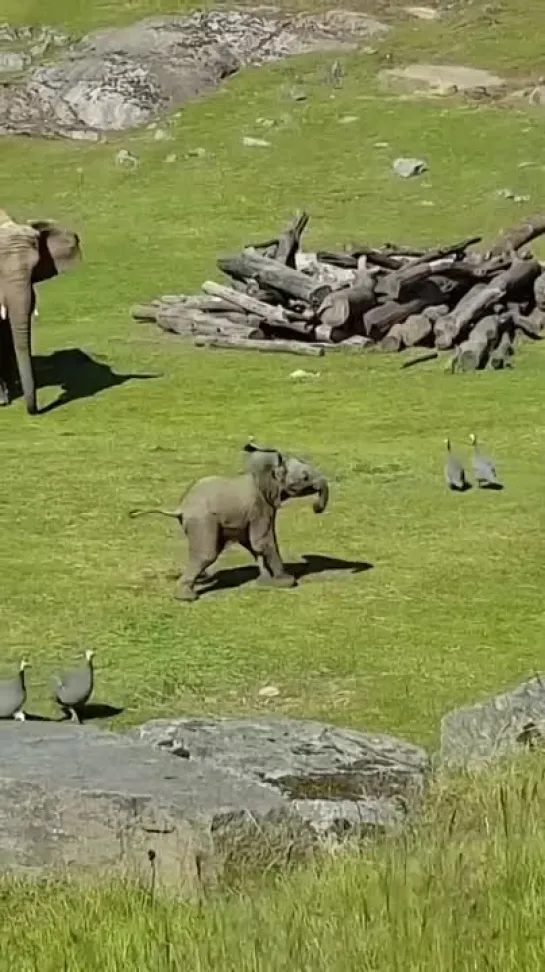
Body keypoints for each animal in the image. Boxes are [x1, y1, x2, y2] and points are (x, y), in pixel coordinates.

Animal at [130, 442, 296, 600]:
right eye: (301, 477)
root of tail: (181, 508)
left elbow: (252, 545)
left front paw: (266, 581)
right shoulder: (260, 507)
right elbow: (262, 542)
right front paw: (286, 582)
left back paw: (201, 579)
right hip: (203, 520)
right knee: (207, 554)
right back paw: (186, 597)